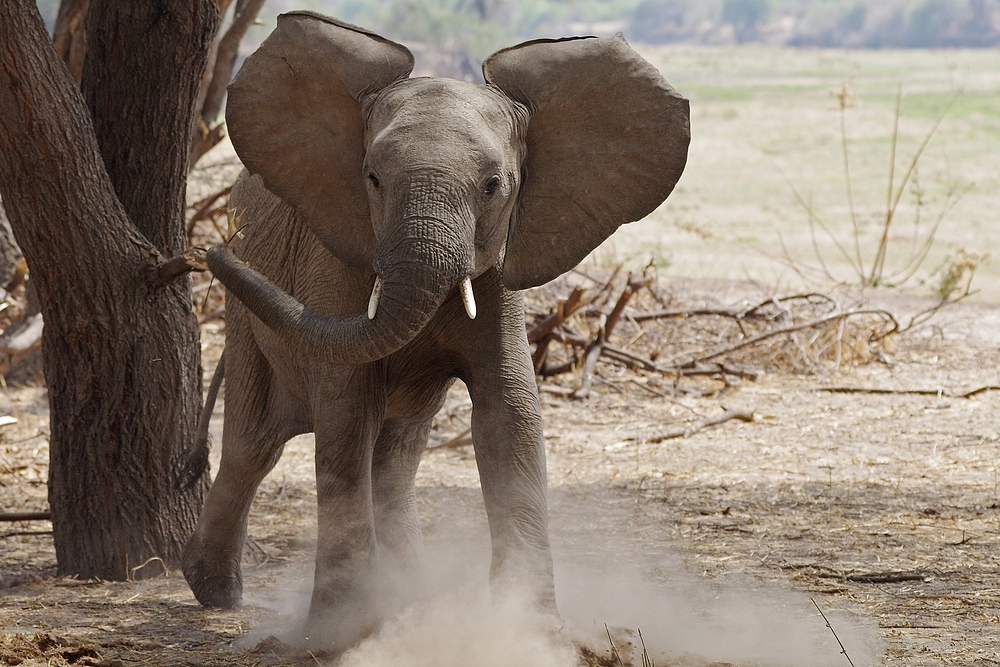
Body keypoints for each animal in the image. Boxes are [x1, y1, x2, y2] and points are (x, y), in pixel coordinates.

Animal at [182, 9, 688, 648]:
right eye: (372, 178)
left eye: (494, 186)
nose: (211, 250)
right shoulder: (336, 257)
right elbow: (345, 413)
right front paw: (335, 637)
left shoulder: (501, 270)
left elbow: (508, 414)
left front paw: (533, 631)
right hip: (246, 324)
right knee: (255, 447)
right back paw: (214, 590)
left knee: (393, 459)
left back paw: (410, 596)